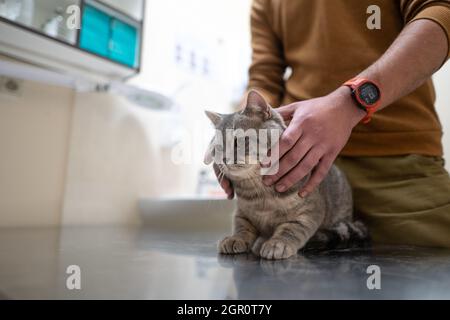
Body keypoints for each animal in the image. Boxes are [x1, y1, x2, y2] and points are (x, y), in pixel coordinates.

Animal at [204, 90, 370, 260]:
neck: (259, 190)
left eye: (238, 141)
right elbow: (242, 226)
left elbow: (292, 228)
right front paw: (235, 238)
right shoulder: (242, 211)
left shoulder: (309, 211)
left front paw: (278, 243)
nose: (223, 159)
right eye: (217, 148)